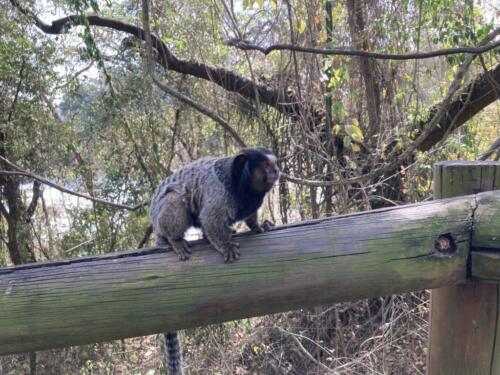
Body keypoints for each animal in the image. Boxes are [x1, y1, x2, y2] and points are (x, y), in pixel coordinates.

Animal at [148, 145, 282, 262]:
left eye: (275, 163)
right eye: (266, 165)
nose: (276, 170)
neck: (241, 186)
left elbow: (250, 216)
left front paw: (258, 226)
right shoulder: (220, 193)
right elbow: (210, 219)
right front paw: (226, 246)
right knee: (174, 198)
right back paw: (176, 240)